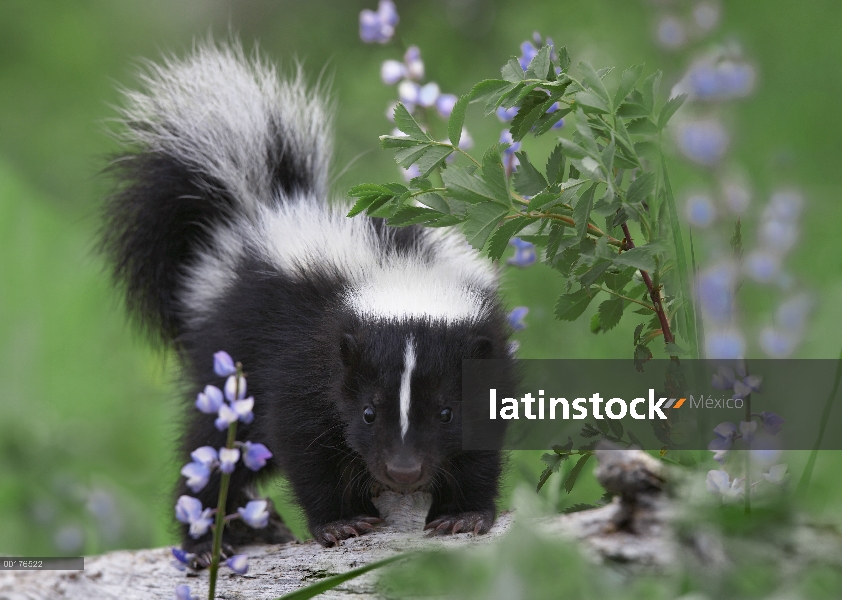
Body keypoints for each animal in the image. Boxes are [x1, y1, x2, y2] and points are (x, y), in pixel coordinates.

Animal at [102, 41, 516, 556]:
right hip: (230, 357)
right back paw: (211, 537)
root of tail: (260, 211)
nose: (403, 471)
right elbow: (301, 437)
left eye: (445, 412)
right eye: (368, 412)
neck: (402, 271)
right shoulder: (305, 348)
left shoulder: (490, 350)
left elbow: (484, 436)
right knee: (214, 448)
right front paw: (340, 522)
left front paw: (464, 513)